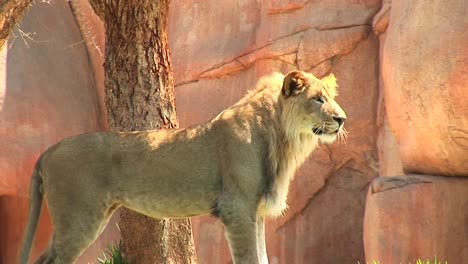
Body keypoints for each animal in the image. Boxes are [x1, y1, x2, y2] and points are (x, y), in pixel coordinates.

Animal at [20, 70, 346, 264]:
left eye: (331, 98)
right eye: (317, 99)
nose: (342, 119)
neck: (281, 136)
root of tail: (49, 150)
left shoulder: (256, 211)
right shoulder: (237, 207)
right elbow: (250, 257)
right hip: (79, 218)